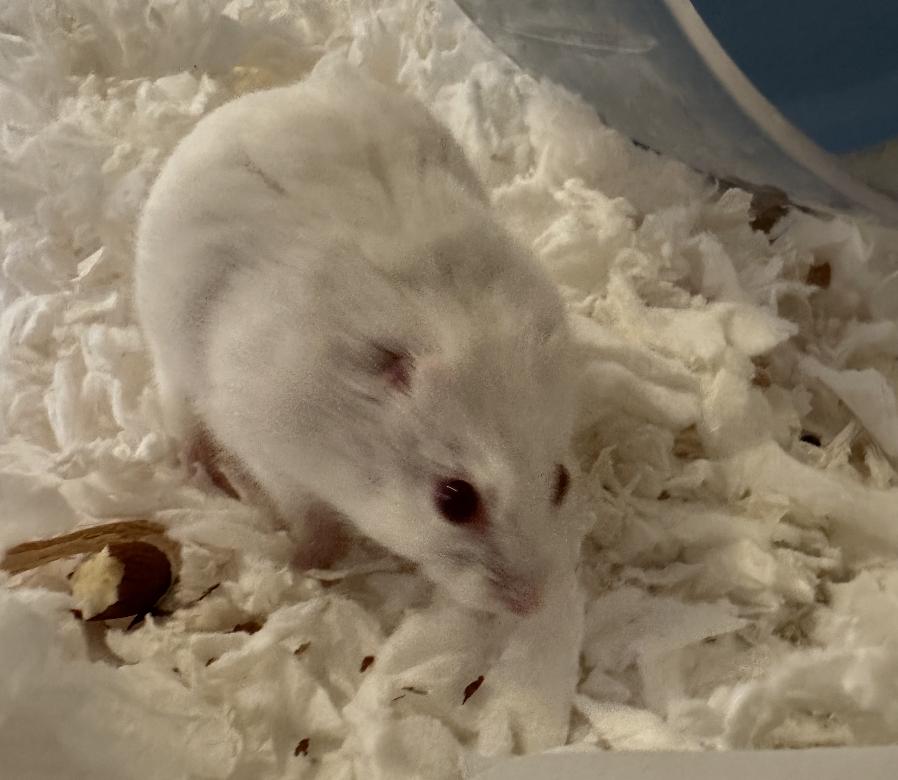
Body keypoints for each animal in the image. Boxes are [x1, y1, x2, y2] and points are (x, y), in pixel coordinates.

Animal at [134, 60, 579, 616]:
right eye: (453, 500)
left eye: (563, 480)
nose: (531, 603)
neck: (351, 439)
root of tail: (275, 94)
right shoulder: (272, 455)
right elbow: (310, 518)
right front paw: (309, 565)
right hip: (167, 352)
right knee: (177, 408)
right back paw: (197, 468)